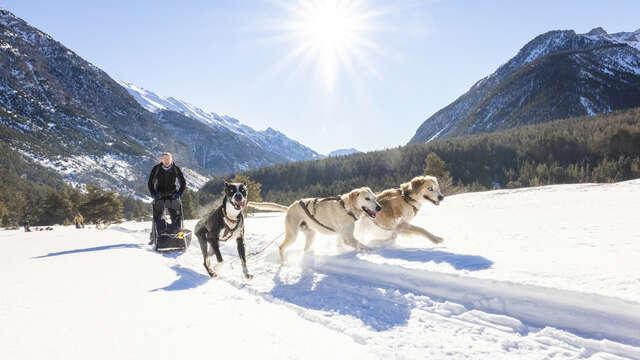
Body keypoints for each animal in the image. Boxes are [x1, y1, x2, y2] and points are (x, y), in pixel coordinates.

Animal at [249, 187, 380, 262]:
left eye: (374, 198)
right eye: (367, 199)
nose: (379, 207)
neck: (346, 207)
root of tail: (289, 208)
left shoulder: (342, 235)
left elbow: (341, 245)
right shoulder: (348, 238)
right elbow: (363, 246)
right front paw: (375, 251)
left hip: (311, 235)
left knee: (305, 249)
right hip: (293, 235)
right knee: (281, 247)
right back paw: (283, 263)